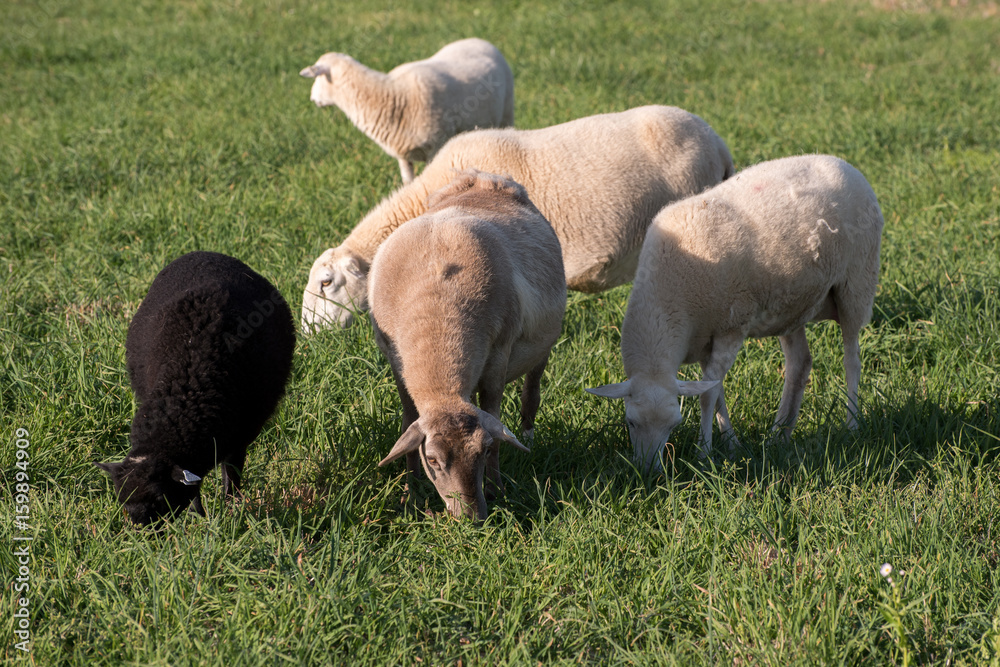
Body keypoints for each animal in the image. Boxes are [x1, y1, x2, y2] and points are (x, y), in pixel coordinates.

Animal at [95, 251, 296, 525]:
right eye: (122, 499)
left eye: (160, 497)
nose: (140, 531)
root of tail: (208, 254)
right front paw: (199, 515)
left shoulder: (239, 437)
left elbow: (231, 476)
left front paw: (231, 512)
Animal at [300, 37, 514, 184]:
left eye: (317, 77)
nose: (312, 99)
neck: (393, 94)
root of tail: (480, 40)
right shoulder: (402, 156)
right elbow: (408, 183)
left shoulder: (435, 147)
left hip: (507, 111)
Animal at [369, 169, 567, 520]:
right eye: (432, 459)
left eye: (483, 450)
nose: (471, 517)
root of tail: (483, 179)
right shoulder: (396, 361)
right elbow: (408, 422)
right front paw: (410, 493)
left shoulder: (498, 356)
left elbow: (496, 423)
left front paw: (498, 490)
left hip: (542, 344)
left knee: (532, 388)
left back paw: (528, 434)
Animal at [587, 154, 884, 471]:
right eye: (630, 422)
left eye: (674, 425)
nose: (647, 472)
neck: (671, 299)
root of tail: (842, 163)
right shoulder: (704, 339)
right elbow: (716, 391)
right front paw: (731, 443)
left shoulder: (731, 328)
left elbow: (708, 395)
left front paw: (704, 452)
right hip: (793, 304)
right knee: (799, 363)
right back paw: (780, 433)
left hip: (856, 283)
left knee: (852, 359)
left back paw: (852, 424)